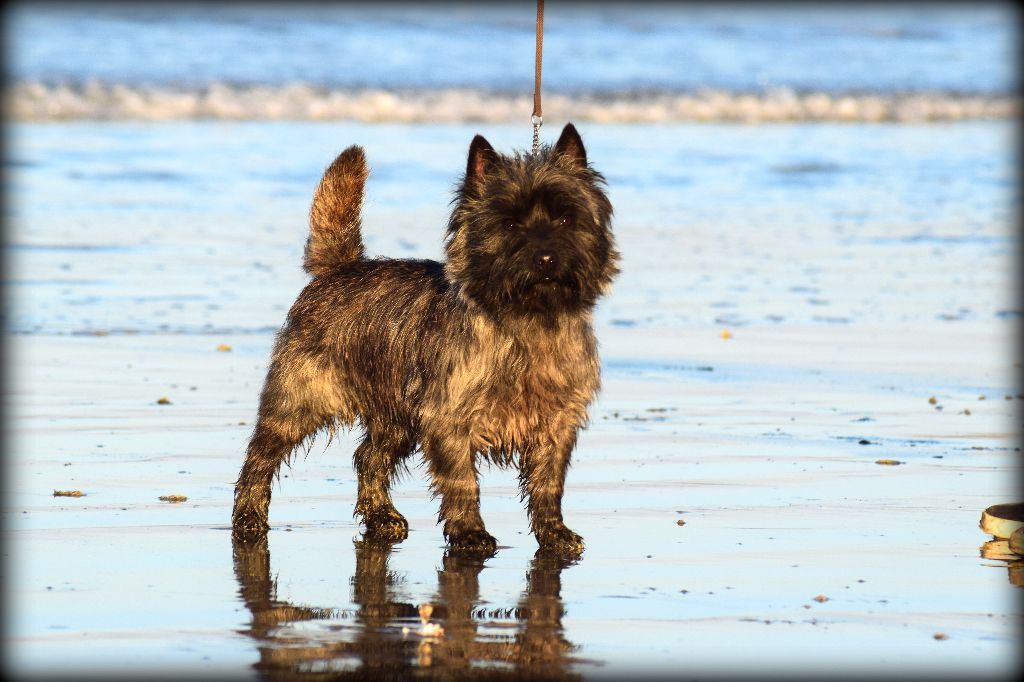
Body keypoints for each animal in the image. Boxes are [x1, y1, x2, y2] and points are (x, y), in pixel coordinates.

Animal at [232, 123, 614, 557]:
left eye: (566, 218)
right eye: (509, 224)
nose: (546, 257)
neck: (528, 323)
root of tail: (338, 268)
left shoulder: (557, 423)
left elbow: (549, 484)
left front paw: (554, 532)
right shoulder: (450, 419)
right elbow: (462, 481)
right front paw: (470, 533)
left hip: (396, 416)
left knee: (369, 456)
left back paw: (381, 516)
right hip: (301, 401)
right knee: (260, 456)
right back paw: (248, 518)